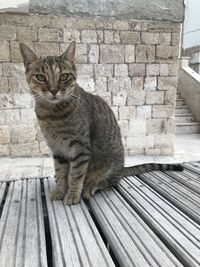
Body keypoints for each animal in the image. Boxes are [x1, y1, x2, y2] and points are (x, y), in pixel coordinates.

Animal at [19, 41, 184, 205]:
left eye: (64, 76)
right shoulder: (57, 149)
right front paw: (60, 191)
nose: (54, 90)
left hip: (110, 165)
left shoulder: (80, 148)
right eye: (41, 77)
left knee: (110, 181)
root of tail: (122, 167)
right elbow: (60, 173)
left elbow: (76, 175)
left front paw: (72, 194)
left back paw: (91, 187)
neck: (52, 114)